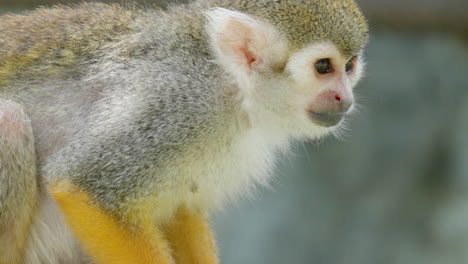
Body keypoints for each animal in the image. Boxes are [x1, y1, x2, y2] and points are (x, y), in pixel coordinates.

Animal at [0, 1, 370, 262]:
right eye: (323, 67)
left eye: (349, 66)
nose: (345, 97)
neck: (228, 81)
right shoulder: (176, 106)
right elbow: (83, 184)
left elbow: (178, 208)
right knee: (10, 120)